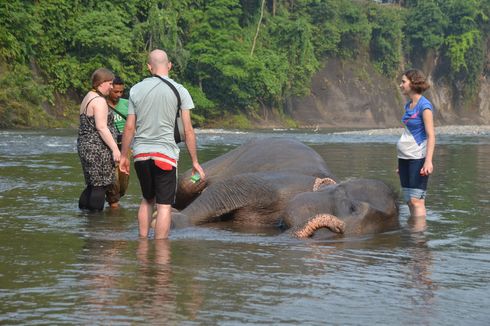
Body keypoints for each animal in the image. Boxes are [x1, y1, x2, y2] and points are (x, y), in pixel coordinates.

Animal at [170, 136, 400, 238]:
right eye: (352, 207)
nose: (336, 228)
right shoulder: (280, 185)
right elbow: (229, 187)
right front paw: (172, 219)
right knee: (191, 181)